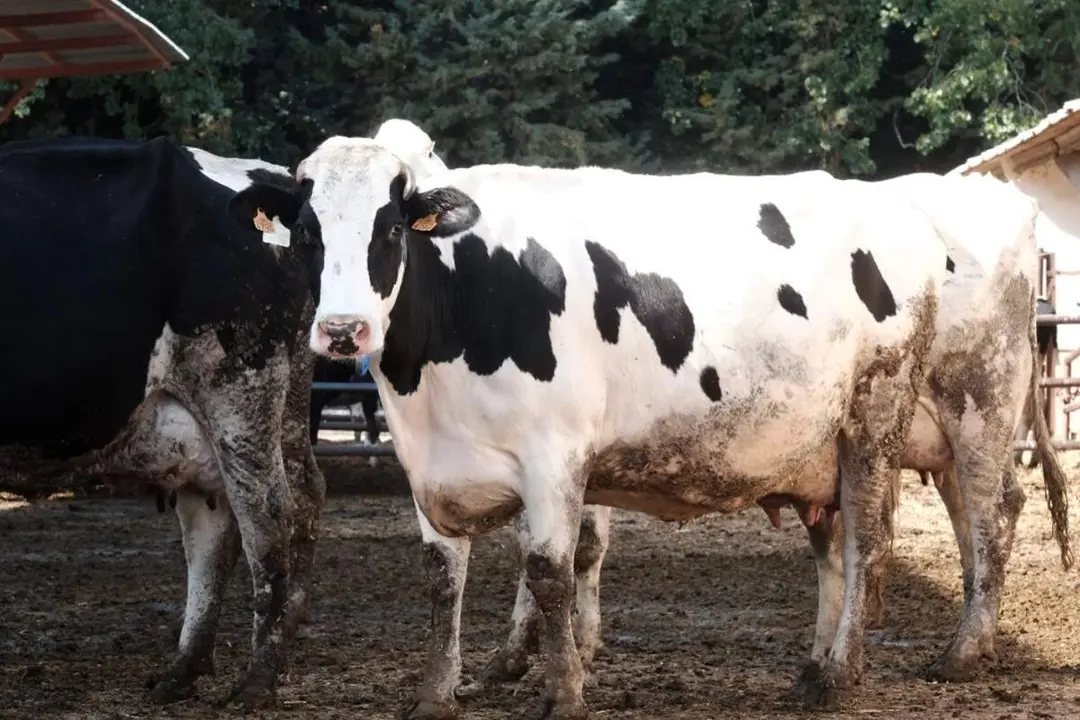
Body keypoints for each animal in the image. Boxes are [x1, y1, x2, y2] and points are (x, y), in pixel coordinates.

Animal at [234, 142, 1069, 718]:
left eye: (389, 230)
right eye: (308, 235)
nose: (343, 330)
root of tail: (911, 213)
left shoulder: (554, 457)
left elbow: (550, 570)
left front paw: (562, 690)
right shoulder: (426, 467)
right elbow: (443, 580)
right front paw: (436, 694)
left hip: (922, 413)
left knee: (926, 530)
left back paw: (890, 665)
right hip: (834, 443)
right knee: (851, 545)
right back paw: (824, 661)